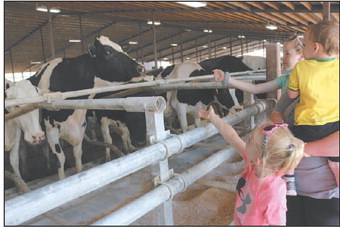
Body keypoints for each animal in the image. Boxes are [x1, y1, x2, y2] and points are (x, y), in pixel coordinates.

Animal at [26, 35, 143, 179]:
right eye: (107, 52)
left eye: (122, 48)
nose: (141, 68)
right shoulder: (51, 129)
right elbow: (60, 159)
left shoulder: (81, 126)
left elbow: (78, 155)